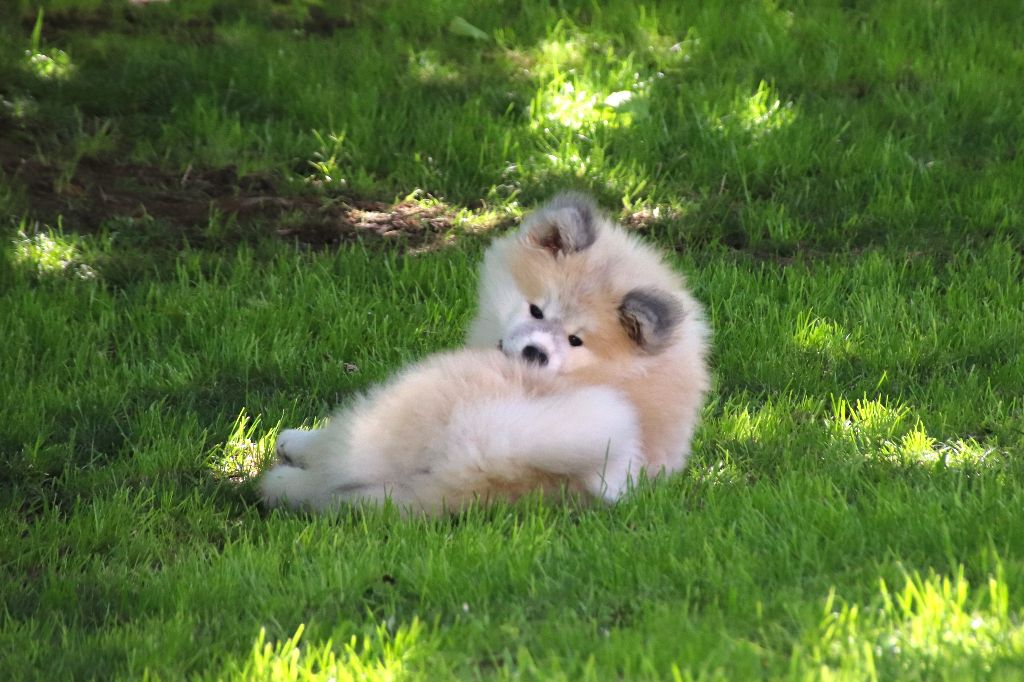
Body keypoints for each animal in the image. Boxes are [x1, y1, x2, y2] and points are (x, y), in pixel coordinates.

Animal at [259, 193, 710, 514]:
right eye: (536, 310)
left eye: (575, 340)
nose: (534, 353)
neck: (620, 374)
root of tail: (498, 453)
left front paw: (298, 439)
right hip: (413, 496)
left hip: (416, 399)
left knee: (341, 454)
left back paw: (284, 468)